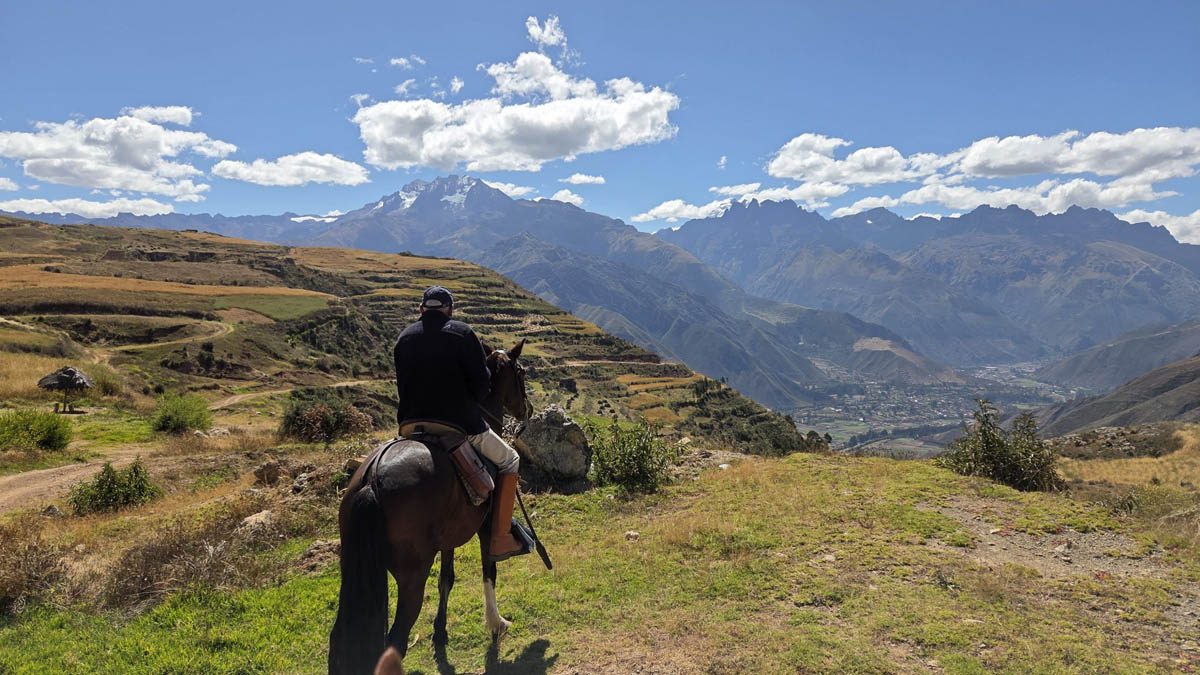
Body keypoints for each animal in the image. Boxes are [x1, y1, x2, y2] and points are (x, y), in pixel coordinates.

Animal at [328, 339, 533, 675]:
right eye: (521, 373)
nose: (527, 410)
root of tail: (371, 479)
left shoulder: (448, 537)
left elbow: (446, 579)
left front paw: (440, 631)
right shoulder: (486, 527)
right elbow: (489, 569)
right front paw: (496, 623)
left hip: (354, 567)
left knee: (341, 638)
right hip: (412, 575)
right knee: (395, 639)